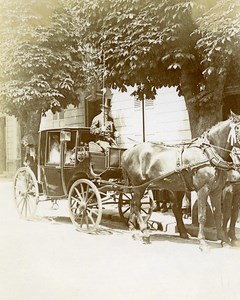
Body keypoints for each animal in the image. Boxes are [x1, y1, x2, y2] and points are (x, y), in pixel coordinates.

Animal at [121, 111, 240, 250]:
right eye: (238, 128)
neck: (208, 154)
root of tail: (128, 151)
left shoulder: (216, 190)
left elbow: (218, 215)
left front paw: (224, 239)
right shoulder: (203, 189)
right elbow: (202, 216)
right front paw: (203, 242)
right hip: (139, 185)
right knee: (136, 204)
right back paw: (144, 232)